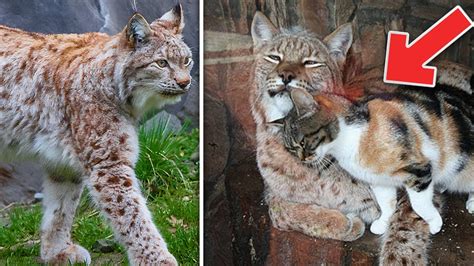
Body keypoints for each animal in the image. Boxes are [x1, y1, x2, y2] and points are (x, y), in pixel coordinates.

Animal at [280, 79, 472, 235]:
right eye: (291, 149)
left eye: (303, 142)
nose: (302, 159)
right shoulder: (378, 179)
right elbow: (386, 203)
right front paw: (382, 223)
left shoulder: (418, 169)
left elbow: (419, 204)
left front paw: (434, 223)